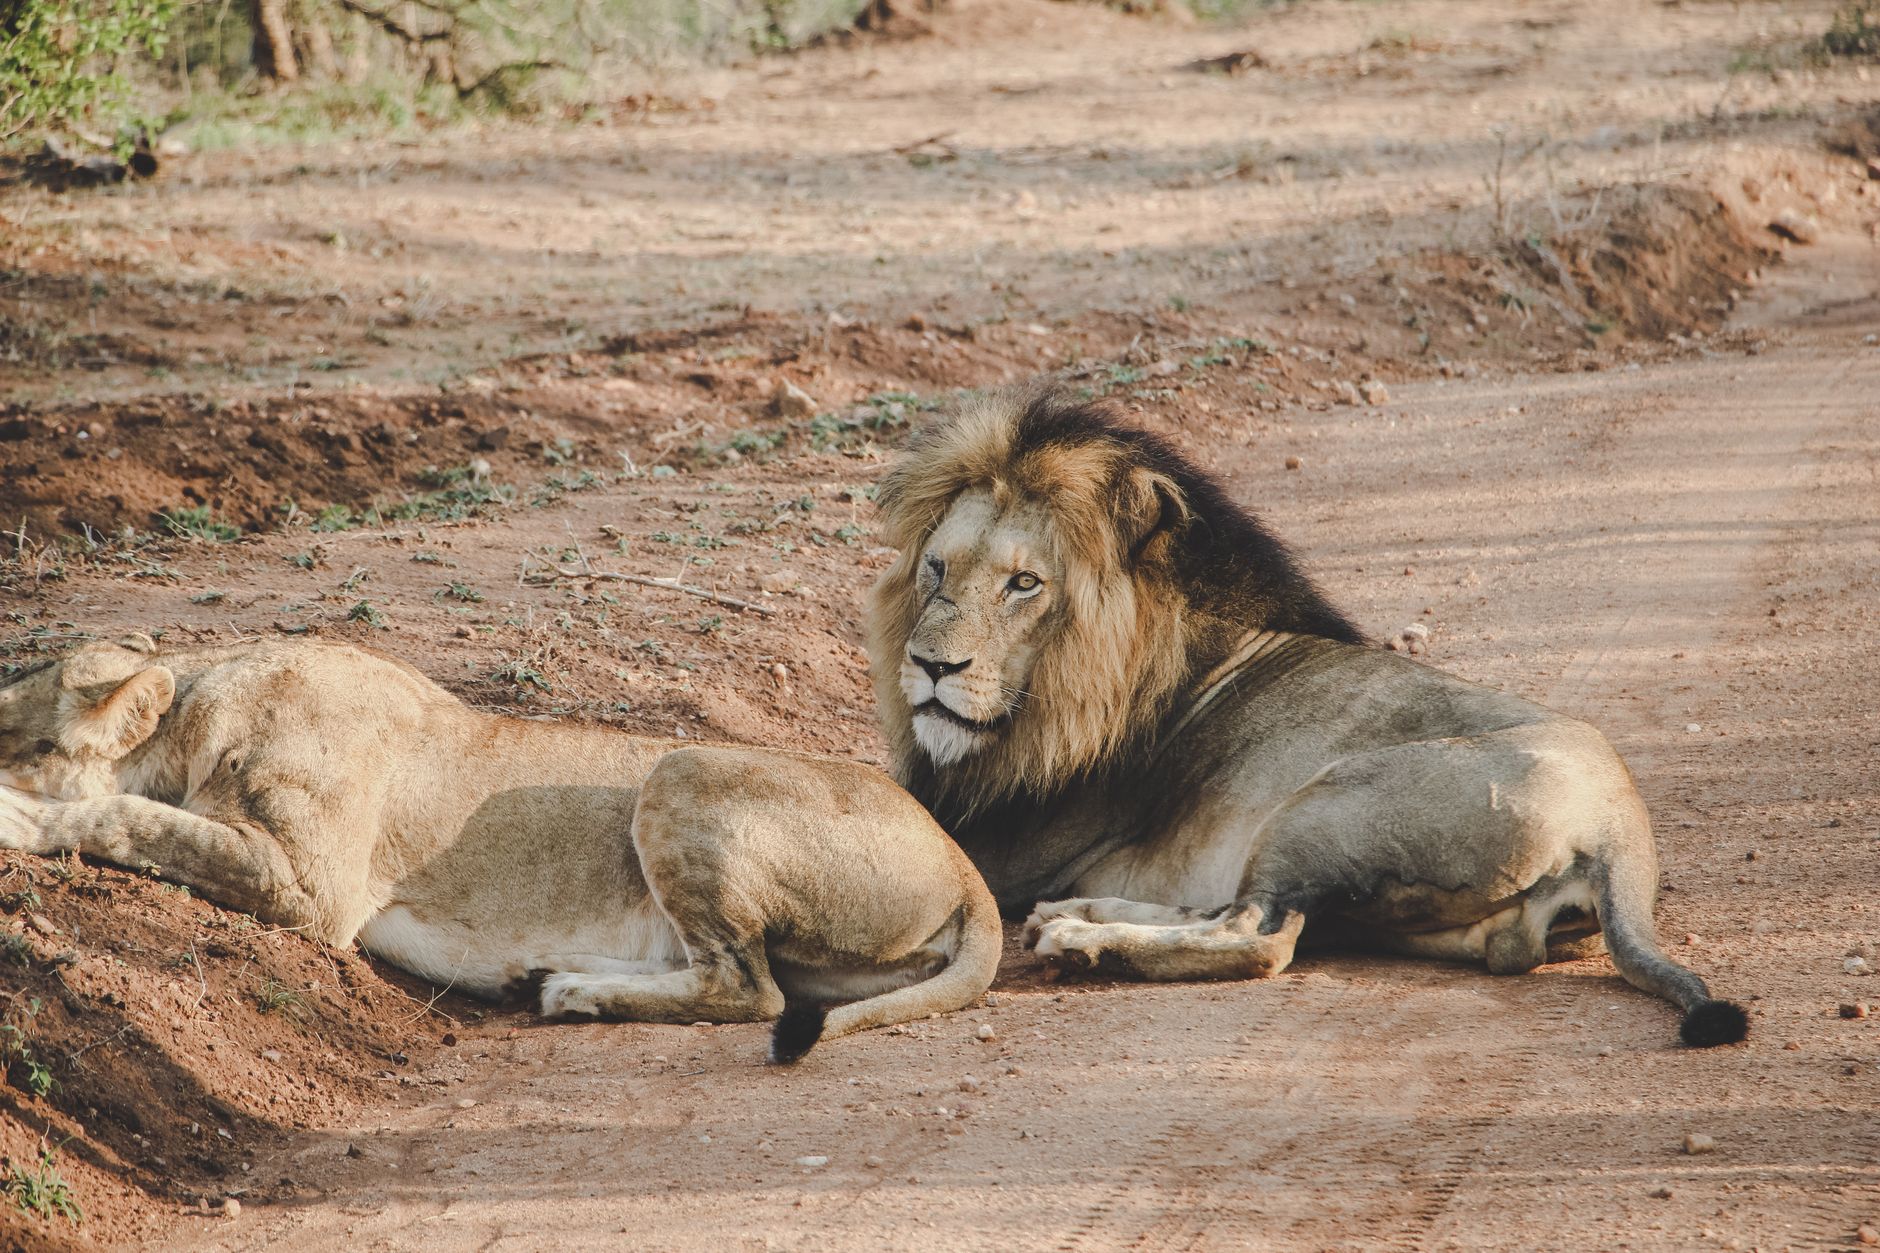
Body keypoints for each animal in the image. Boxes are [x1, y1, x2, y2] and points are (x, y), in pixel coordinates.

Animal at [0, 636, 999, 1061]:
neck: (201, 707)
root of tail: (963, 865)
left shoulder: (312, 891)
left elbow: (129, 817)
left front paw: (17, 817)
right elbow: (141, 815)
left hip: (681, 767)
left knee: (751, 990)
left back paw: (574, 993)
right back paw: (554, 974)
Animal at [865, 384, 1747, 1047]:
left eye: (1025, 584)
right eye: (937, 568)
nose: (931, 665)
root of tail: (1622, 826)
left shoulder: (1005, 840)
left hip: (1323, 803)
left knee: (1261, 935)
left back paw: (1083, 941)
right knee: (1244, 912)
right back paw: (1083, 913)